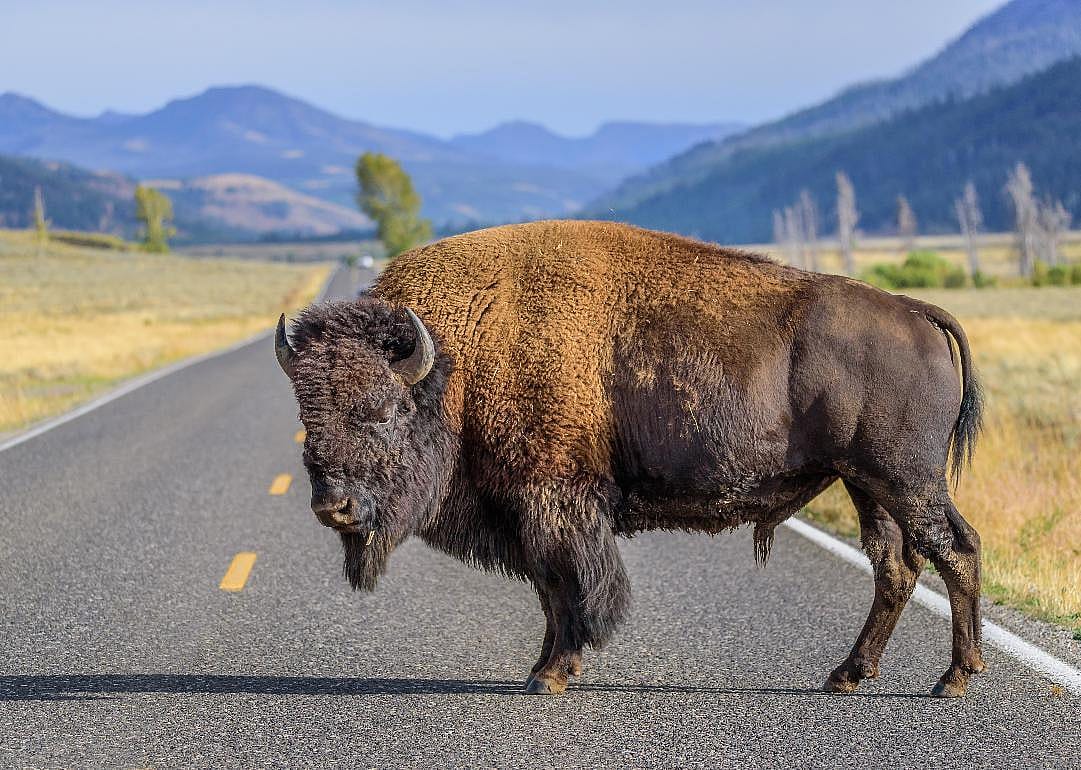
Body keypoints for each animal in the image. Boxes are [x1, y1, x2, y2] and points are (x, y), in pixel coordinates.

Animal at [274, 220, 985, 697]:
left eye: (382, 410)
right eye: (307, 416)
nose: (332, 505)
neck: (457, 357)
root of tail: (914, 310)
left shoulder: (555, 503)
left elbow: (572, 587)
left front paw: (552, 675)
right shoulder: (532, 513)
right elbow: (551, 591)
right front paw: (544, 669)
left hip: (904, 480)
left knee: (954, 549)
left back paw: (954, 679)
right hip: (869, 485)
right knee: (896, 566)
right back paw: (848, 675)